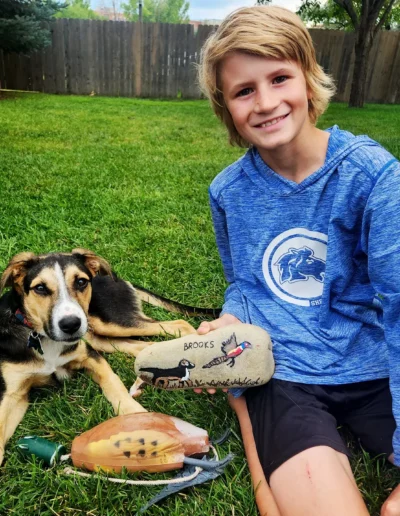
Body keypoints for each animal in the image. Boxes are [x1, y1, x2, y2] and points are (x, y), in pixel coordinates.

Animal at [0, 248, 195, 466]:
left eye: (81, 282)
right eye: (40, 288)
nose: (71, 324)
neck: (42, 338)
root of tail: (114, 277)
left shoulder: (91, 356)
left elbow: (114, 384)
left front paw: (137, 418)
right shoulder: (14, 394)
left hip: (111, 323)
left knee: (181, 325)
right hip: (99, 337)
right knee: (147, 346)